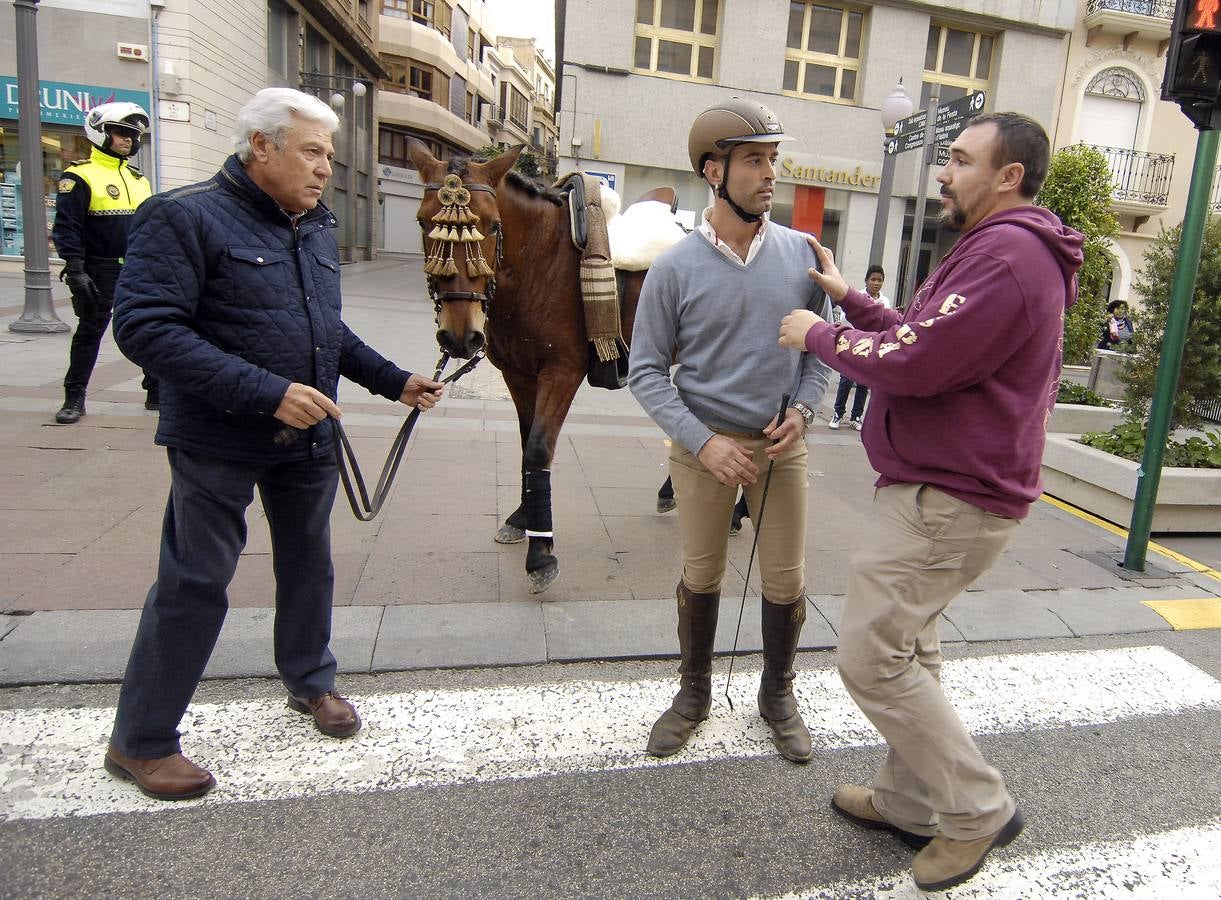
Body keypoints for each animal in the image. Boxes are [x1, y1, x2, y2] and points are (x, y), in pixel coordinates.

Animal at [407, 138, 649, 591]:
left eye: (492, 226)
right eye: (422, 222)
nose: (460, 336)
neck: (542, 262)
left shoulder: (562, 371)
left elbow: (538, 448)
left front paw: (540, 553)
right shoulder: (518, 374)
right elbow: (524, 444)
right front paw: (523, 519)